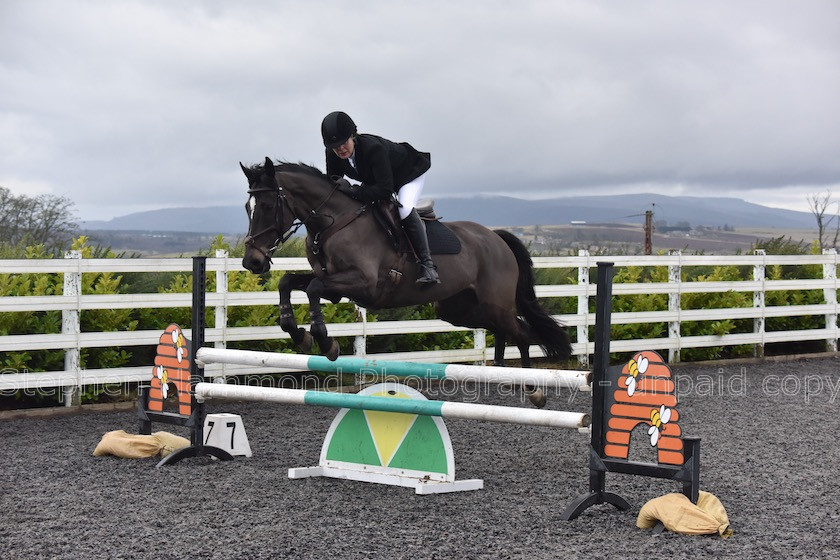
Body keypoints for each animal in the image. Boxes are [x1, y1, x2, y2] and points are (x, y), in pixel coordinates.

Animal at [240, 158, 576, 406]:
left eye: (268, 206)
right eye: (247, 208)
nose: (252, 262)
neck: (332, 222)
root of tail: (496, 238)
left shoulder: (363, 284)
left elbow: (312, 289)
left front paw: (324, 341)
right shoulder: (333, 283)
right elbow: (288, 282)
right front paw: (298, 334)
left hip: (493, 305)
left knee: (522, 332)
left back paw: (534, 389)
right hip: (459, 310)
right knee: (504, 330)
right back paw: (504, 375)